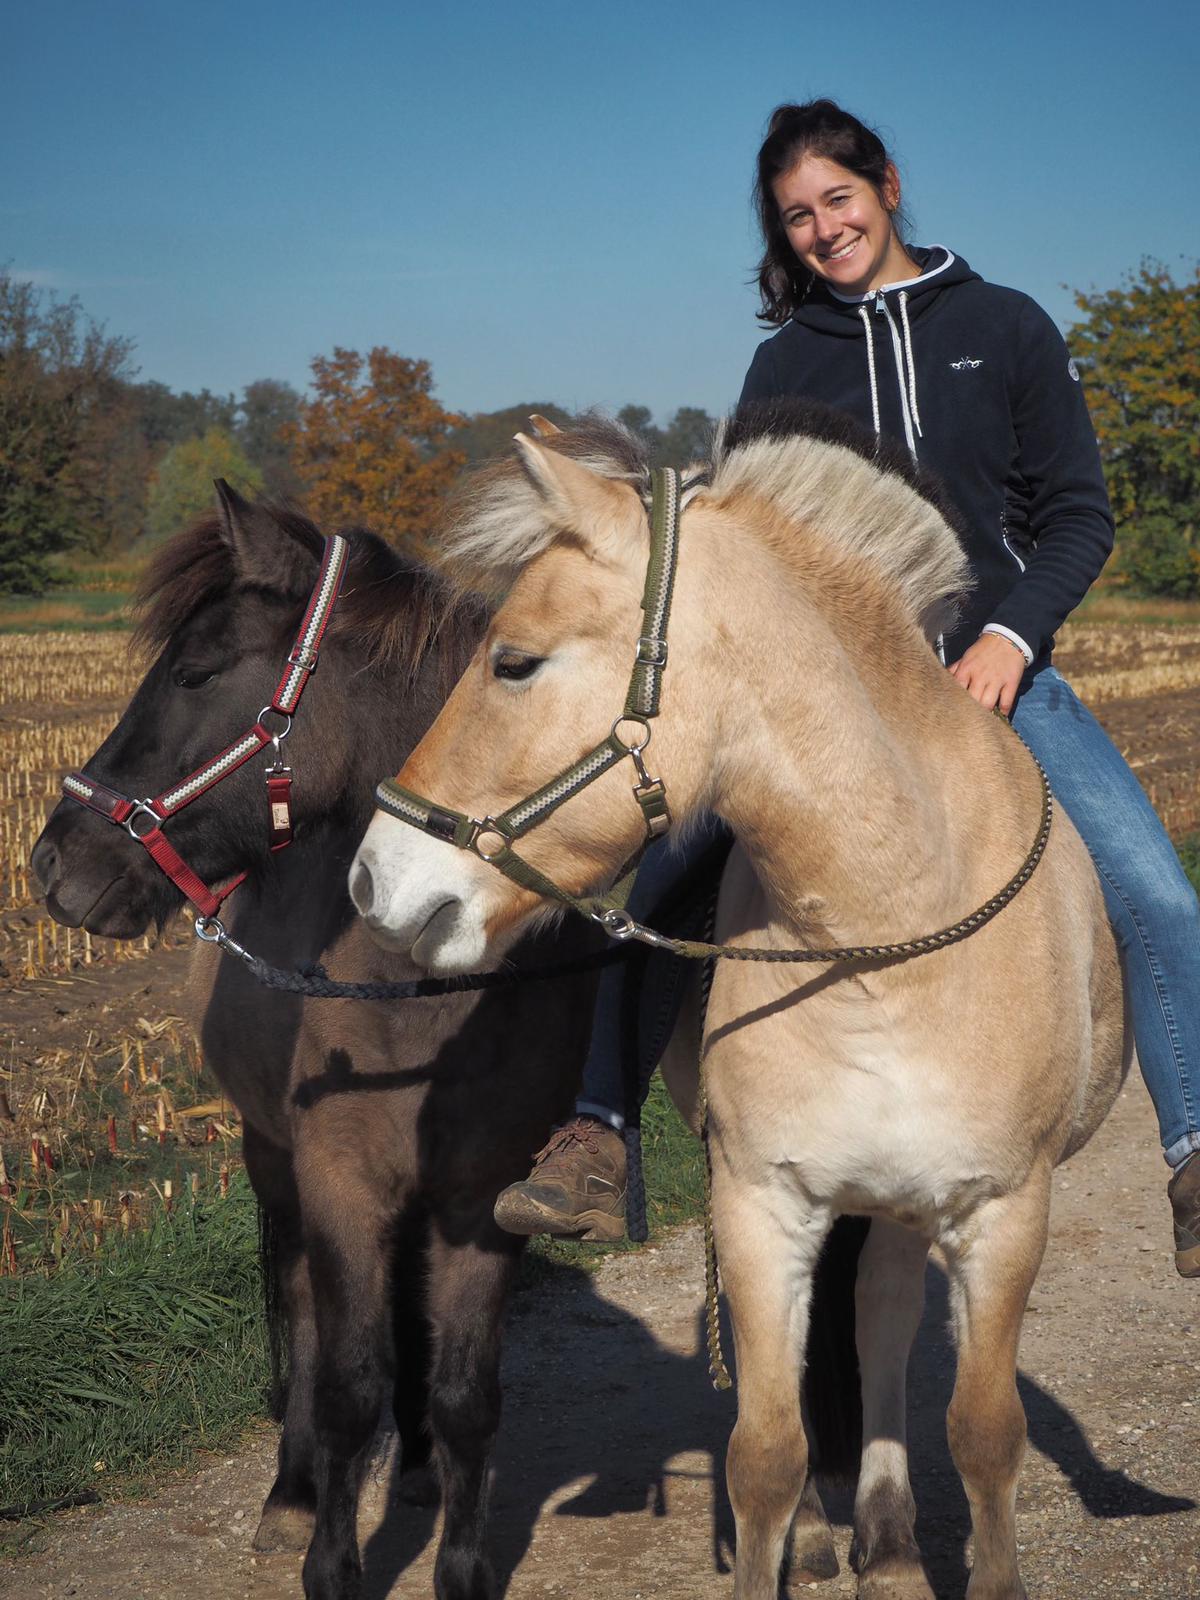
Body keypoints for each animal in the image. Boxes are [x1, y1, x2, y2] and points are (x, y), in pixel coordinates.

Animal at [30, 486, 608, 1600]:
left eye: (195, 671)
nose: (49, 863)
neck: (429, 986)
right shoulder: (338, 1177)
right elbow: (342, 1381)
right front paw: (330, 1560)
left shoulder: (482, 1199)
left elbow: (467, 1391)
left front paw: (461, 1565)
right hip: (274, 1160)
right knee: (303, 1306)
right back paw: (294, 1493)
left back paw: (415, 1466)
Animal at [348, 406, 1131, 1600]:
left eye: (513, 662)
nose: (373, 880)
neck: (884, 942)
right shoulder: (762, 1205)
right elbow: (764, 1451)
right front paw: (794, 1532)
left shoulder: (1004, 1215)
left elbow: (986, 1434)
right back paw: (848, 1536)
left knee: (884, 1322)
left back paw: (892, 1546)